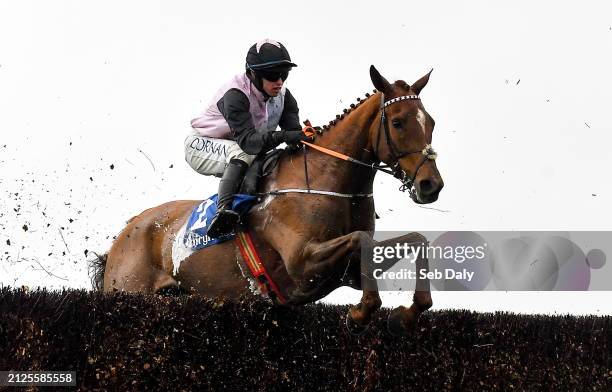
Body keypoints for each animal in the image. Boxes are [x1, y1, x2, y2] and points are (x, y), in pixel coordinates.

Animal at [91, 66, 442, 336]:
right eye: (397, 122)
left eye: (431, 122)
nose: (431, 185)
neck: (327, 181)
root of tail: (126, 232)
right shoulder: (302, 262)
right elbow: (360, 240)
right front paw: (359, 314)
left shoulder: (349, 274)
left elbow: (416, 240)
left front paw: (405, 315)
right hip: (129, 289)